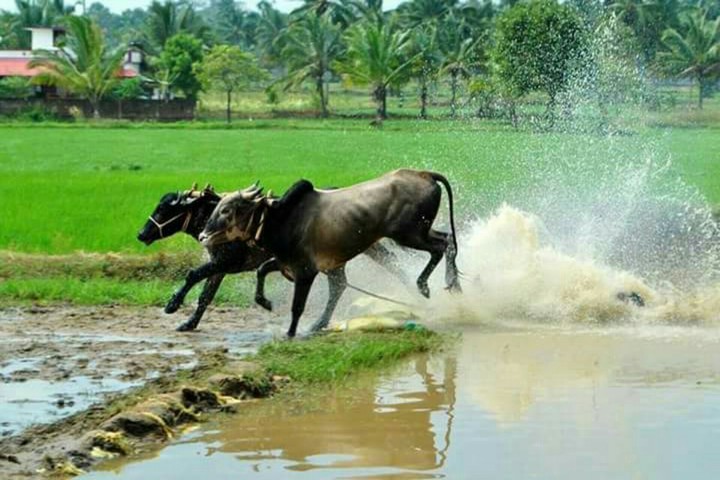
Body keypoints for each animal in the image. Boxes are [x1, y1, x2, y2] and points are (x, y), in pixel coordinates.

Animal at [137, 184, 403, 332]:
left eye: (163, 209)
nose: (141, 234)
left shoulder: (227, 262)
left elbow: (193, 274)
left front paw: (172, 305)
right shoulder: (220, 267)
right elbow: (205, 296)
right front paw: (189, 324)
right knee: (342, 284)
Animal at [199, 169, 461, 338]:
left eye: (227, 210)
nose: (202, 236)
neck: (284, 218)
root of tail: (424, 174)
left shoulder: (306, 272)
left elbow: (297, 306)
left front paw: (291, 333)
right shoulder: (290, 264)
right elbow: (262, 271)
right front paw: (266, 303)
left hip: (408, 235)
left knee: (441, 246)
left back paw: (429, 285)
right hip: (417, 233)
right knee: (447, 239)